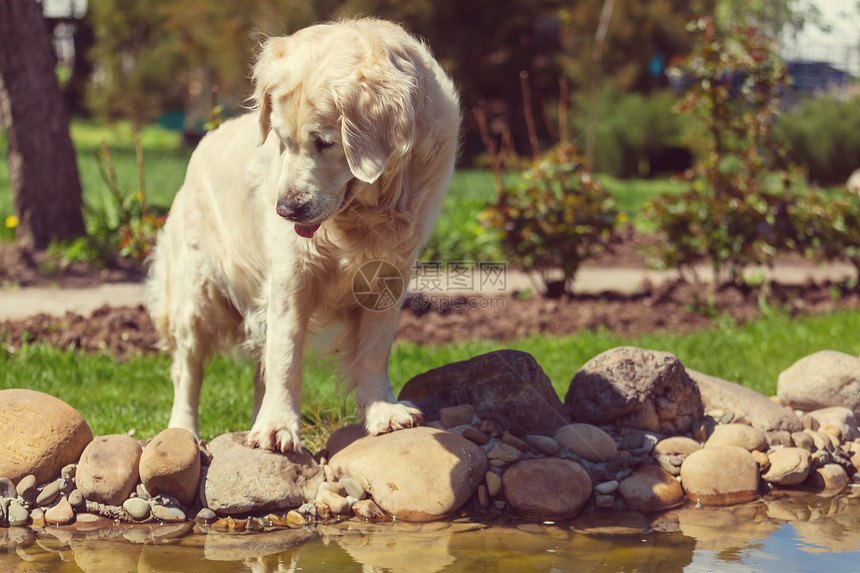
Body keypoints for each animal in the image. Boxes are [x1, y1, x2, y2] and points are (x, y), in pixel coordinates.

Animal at [144, 19, 460, 452]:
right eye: (281, 141)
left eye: (324, 143)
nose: (285, 210)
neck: (363, 215)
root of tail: (202, 144)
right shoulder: (291, 276)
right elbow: (286, 356)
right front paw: (278, 426)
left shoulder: (389, 272)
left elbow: (375, 349)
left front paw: (382, 410)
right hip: (197, 294)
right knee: (189, 371)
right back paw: (183, 432)